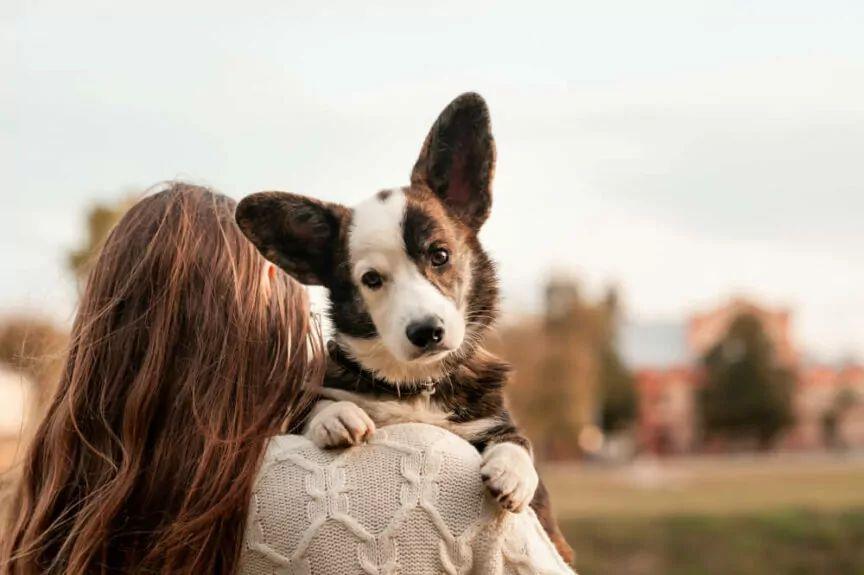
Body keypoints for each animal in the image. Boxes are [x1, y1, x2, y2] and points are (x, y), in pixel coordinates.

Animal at [236, 93, 572, 564]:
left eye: (440, 255)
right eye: (372, 279)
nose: (426, 331)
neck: (415, 385)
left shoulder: (492, 420)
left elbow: (519, 440)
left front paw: (513, 472)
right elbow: (315, 403)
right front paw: (337, 416)